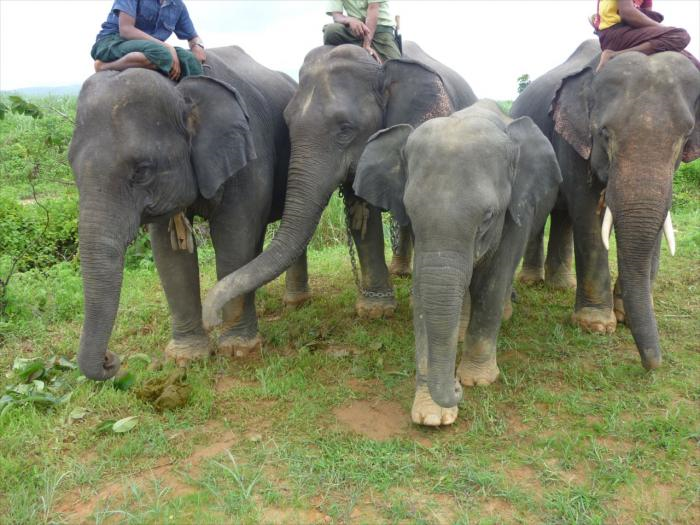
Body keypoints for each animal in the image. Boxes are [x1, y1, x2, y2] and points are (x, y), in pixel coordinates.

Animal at [69, 46, 308, 380]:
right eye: (72, 167)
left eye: (142, 172)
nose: (110, 360)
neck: (181, 89)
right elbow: (169, 255)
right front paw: (187, 358)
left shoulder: (249, 153)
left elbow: (235, 238)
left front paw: (238, 350)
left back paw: (295, 304)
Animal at [200, 41, 478, 328]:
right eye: (286, 124)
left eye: (345, 129)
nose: (212, 321)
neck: (378, 65)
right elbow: (362, 215)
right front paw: (375, 310)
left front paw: (409, 307)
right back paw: (400, 272)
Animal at [352, 99, 560, 426]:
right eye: (410, 213)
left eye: (488, 217)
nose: (456, 386)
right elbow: (424, 292)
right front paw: (432, 417)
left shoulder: (516, 210)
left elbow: (492, 283)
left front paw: (477, 380)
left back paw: (504, 314)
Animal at [508, 40, 700, 368]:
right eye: (605, 134)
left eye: (685, 136)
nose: (653, 365)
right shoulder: (572, 139)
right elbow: (588, 217)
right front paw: (595, 325)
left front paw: (625, 318)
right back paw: (534, 282)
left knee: (563, 216)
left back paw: (562, 286)